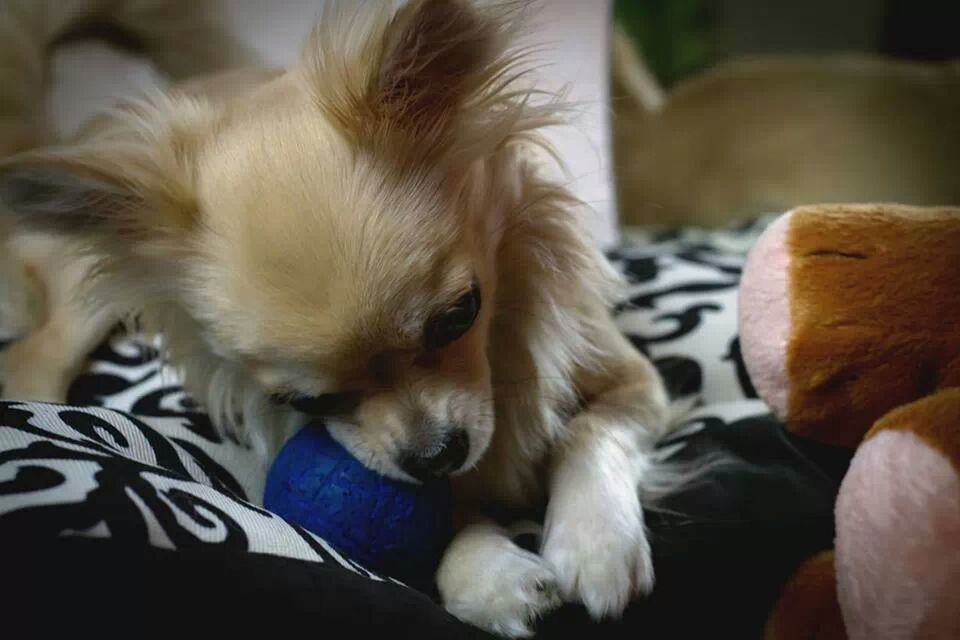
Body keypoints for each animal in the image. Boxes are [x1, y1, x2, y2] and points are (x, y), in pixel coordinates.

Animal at [0, 1, 672, 636]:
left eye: (460, 315)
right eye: (307, 402)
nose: (435, 453)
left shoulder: (637, 380)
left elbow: (592, 428)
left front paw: (594, 543)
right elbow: (445, 516)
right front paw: (486, 574)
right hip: (85, 305)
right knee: (36, 353)